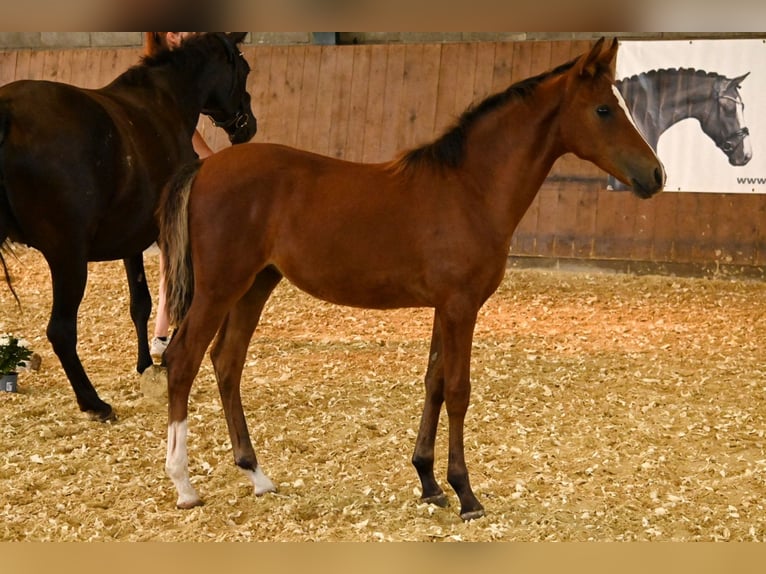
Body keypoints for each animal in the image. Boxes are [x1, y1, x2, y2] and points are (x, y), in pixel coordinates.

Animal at [0, 32, 257, 422]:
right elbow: (181, 297)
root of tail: (8, 112)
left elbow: (141, 303)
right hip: (67, 256)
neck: (164, 102)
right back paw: (94, 403)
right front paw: (169, 360)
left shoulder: (132, 240)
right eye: (245, 69)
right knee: (61, 331)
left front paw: (145, 363)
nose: (248, 126)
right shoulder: (169, 233)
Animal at [158, 37, 665, 520]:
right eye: (603, 109)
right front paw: (466, 494)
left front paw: (429, 482)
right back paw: (184, 485)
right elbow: (458, 391)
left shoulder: (446, 307)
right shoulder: (461, 306)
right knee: (182, 361)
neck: (469, 189)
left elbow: (434, 384)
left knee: (227, 362)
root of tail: (204, 166)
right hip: (220, 289)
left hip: (256, 285)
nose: (656, 175)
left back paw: (257, 475)